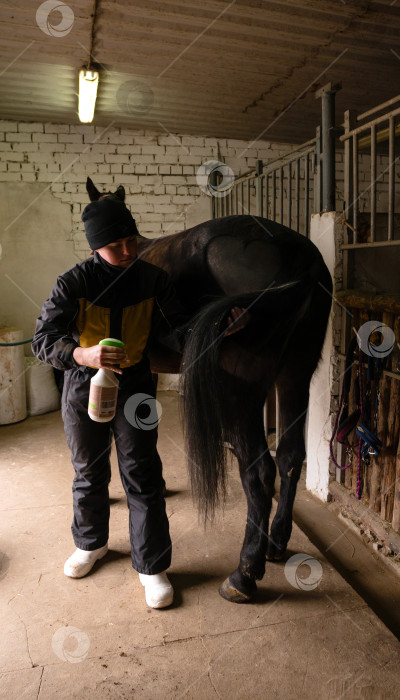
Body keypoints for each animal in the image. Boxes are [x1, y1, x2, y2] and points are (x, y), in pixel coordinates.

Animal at [86, 178, 332, 604]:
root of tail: (301, 258)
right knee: (289, 456)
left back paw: (244, 574)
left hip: (241, 392)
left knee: (260, 471)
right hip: (294, 377)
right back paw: (277, 543)